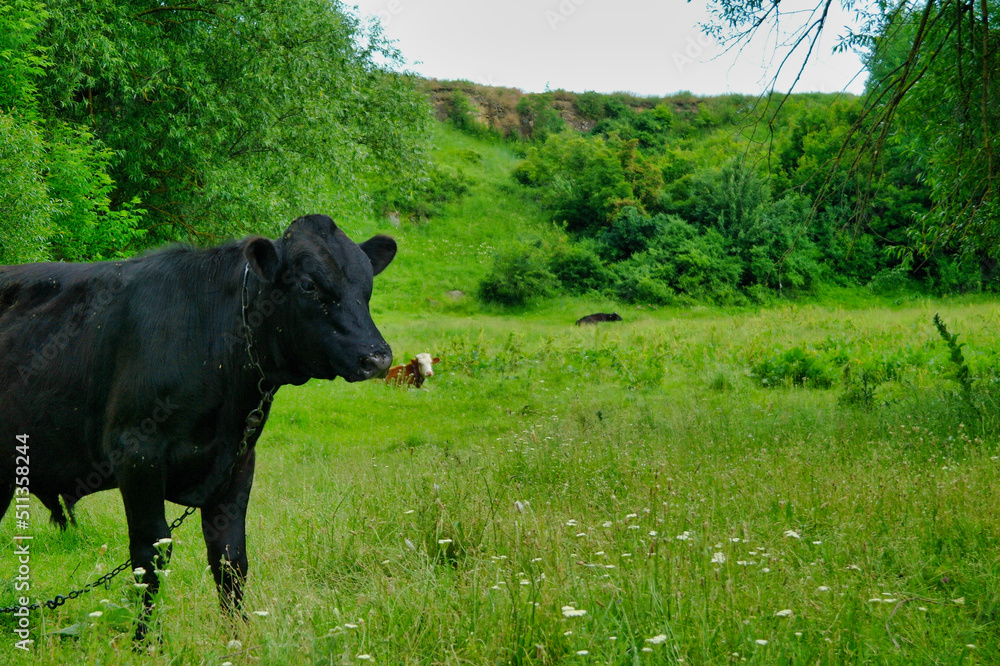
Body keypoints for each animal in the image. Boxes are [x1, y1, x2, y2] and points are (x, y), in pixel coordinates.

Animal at [0, 214, 395, 637]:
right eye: (309, 285)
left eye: (367, 285)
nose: (377, 357)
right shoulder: (136, 456)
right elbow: (149, 557)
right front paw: (145, 641)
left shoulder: (238, 462)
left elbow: (230, 557)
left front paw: (238, 637)